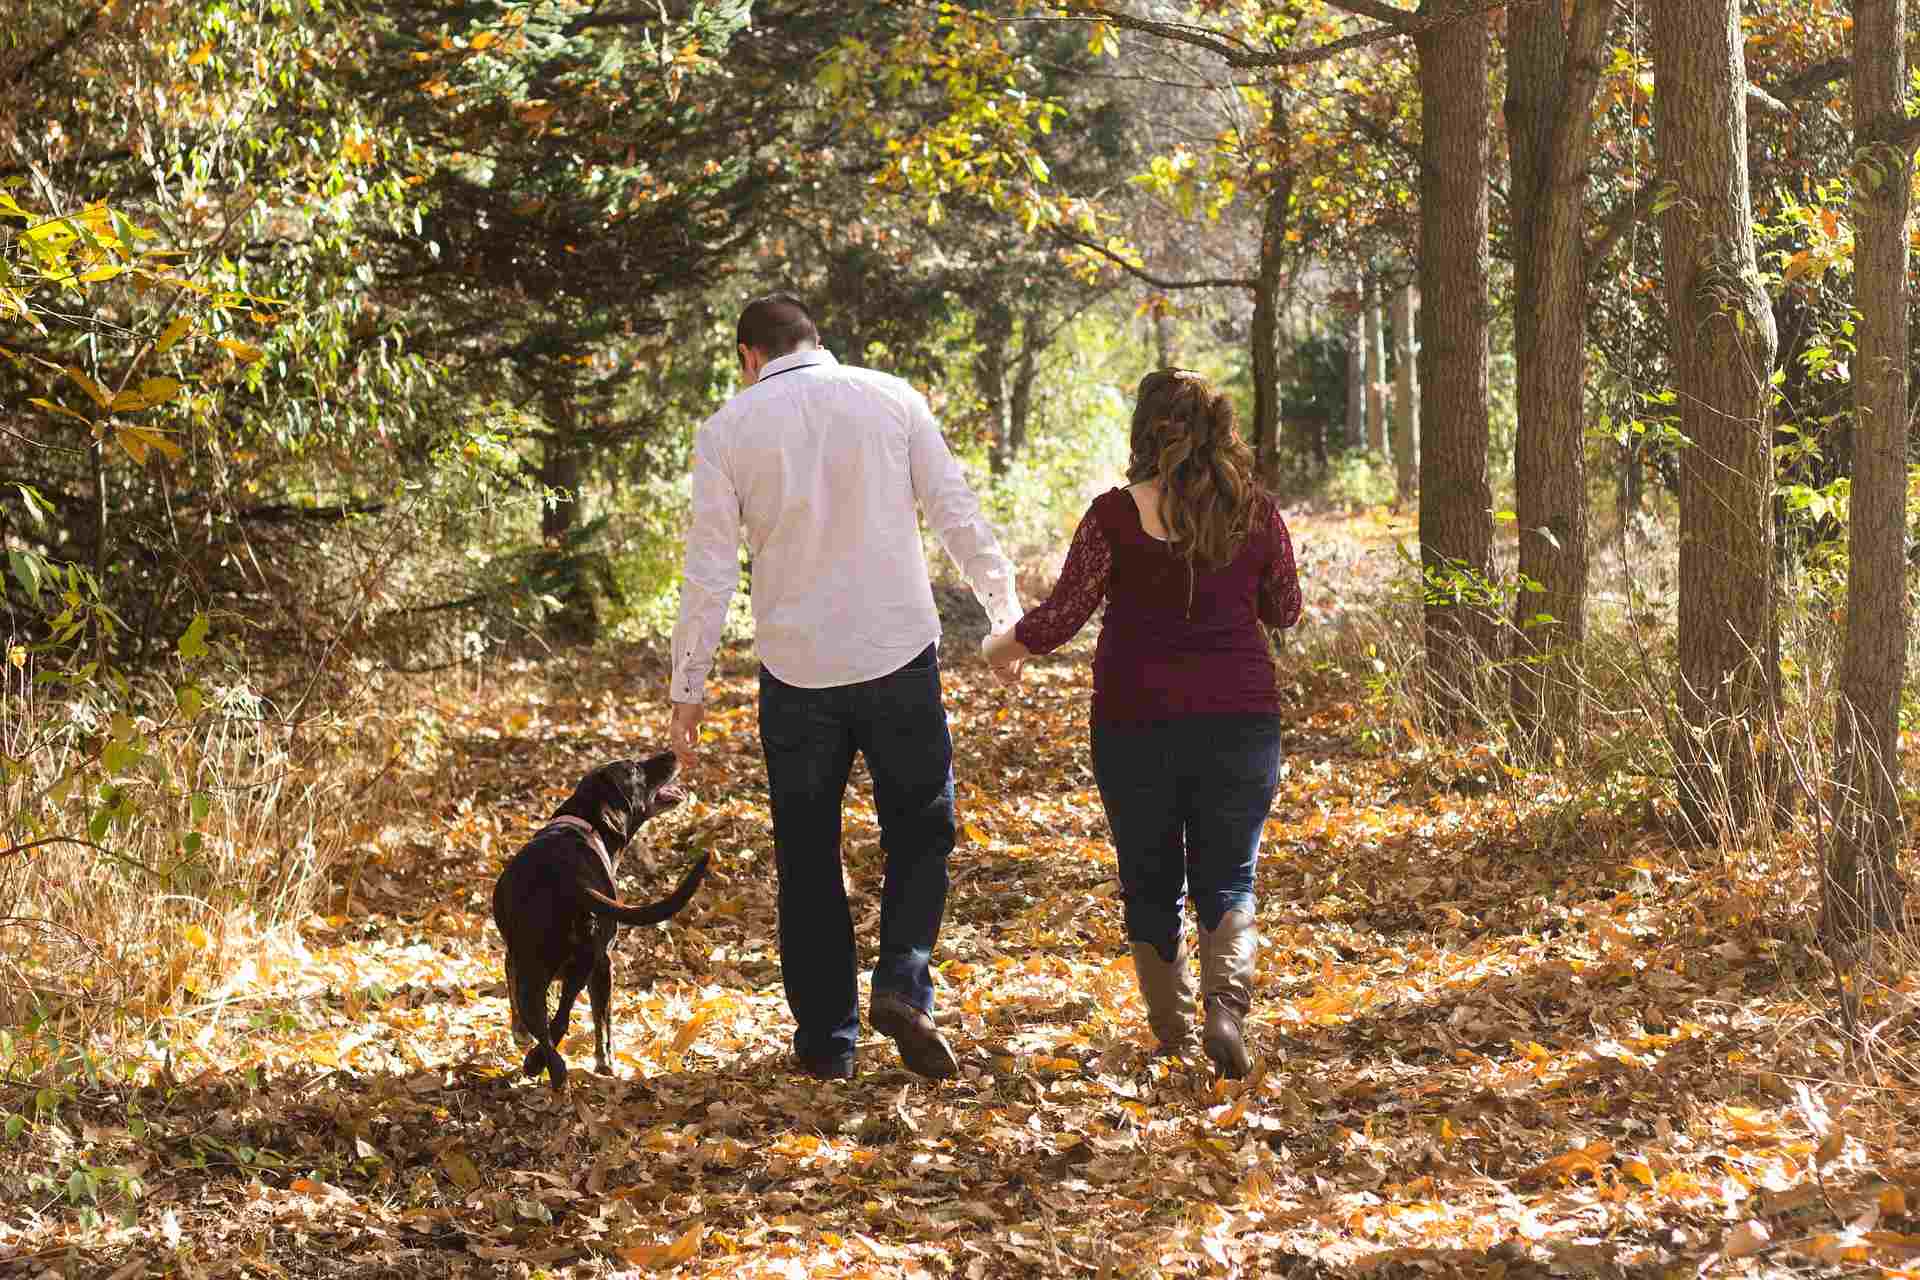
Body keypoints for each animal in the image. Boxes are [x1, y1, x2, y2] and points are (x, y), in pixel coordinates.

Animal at [491, 752, 710, 1090]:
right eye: (634, 768)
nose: (672, 754)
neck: (583, 821)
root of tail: (570, 879)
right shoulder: (601, 964)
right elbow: (601, 1019)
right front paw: (604, 1064)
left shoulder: (512, 959)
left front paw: (520, 1038)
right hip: (588, 964)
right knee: (561, 1020)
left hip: (542, 969)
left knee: (548, 1025)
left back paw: (541, 1067)